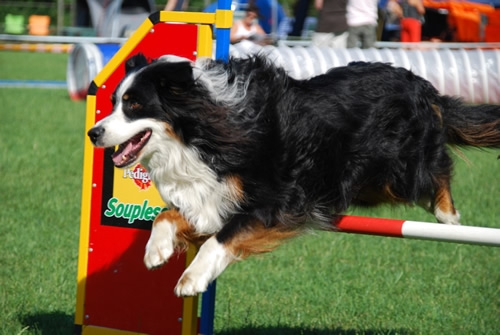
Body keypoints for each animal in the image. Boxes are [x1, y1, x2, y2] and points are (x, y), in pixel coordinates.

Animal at [88, 54, 500, 296]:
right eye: (113, 102)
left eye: (134, 105)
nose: (93, 133)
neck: (201, 132)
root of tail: (425, 87)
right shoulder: (213, 198)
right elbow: (168, 215)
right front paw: (156, 250)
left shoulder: (275, 200)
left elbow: (221, 239)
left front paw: (192, 279)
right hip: (369, 183)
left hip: (397, 171)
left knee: (437, 168)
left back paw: (449, 216)